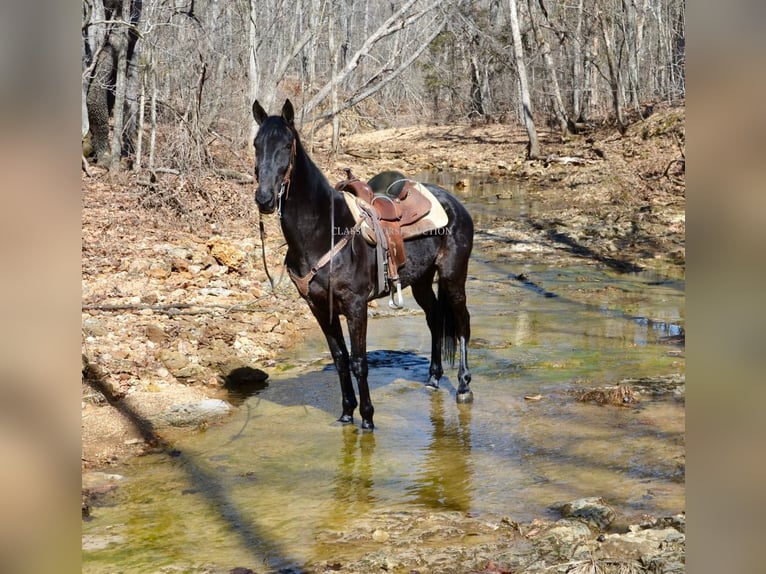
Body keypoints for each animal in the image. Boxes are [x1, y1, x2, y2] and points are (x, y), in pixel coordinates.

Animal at [252, 100, 472, 432]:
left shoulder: (356, 306)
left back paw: (463, 386)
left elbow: (359, 362)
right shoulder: (320, 308)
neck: (323, 231)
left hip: (453, 278)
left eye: (286, 145)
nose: (264, 199)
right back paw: (433, 378)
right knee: (435, 318)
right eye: (256, 145)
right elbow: (340, 359)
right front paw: (346, 413)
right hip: (421, 280)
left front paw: (367, 418)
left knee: (462, 324)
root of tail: (455, 205)